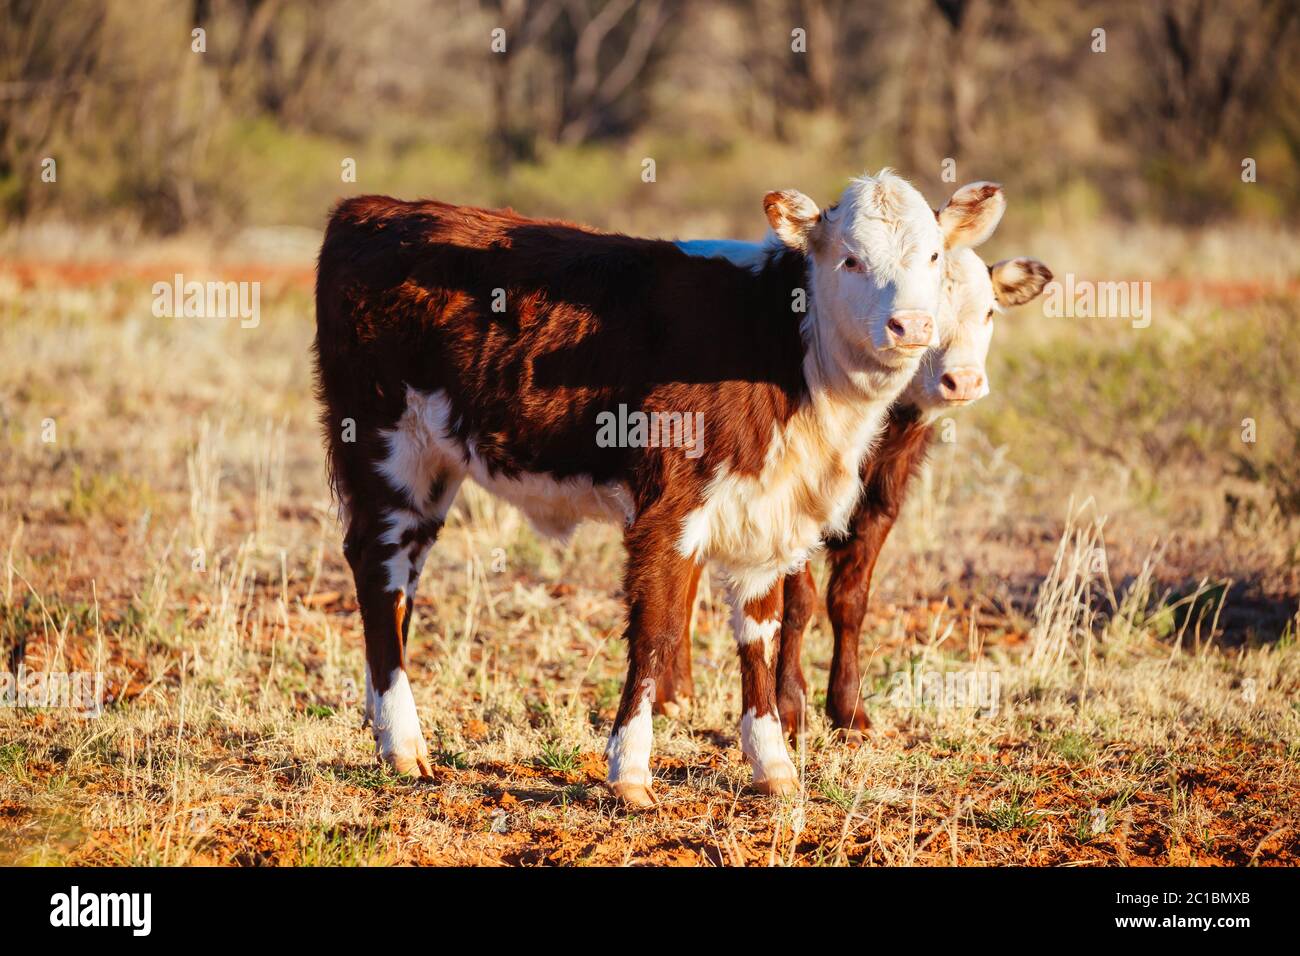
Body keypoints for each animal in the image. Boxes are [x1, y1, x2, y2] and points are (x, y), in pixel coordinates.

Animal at [312, 171, 1007, 806]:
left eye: (934, 256)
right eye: (850, 258)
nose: (911, 326)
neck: (784, 346)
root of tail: (374, 208)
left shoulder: (768, 512)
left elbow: (760, 634)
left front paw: (773, 764)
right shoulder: (666, 508)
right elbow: (657, 630)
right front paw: (630, 772)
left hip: (434, 466)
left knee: (401, 582)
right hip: (384, 443)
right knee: (378, 570)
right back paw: (403, 743)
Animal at [653, 246, 1053, 738]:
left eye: (989, 311)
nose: (963, 381)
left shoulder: (881, 503)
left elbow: (849, 601)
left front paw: (848, 709)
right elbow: (797, 603)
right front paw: (789, 707)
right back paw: (673, 694)